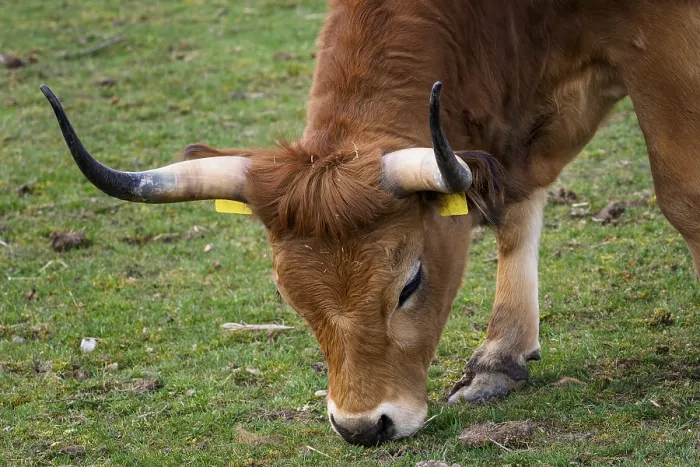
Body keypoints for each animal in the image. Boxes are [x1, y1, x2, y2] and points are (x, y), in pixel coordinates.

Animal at [41, 0, 700, 447]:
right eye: (289, 297)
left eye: (410, 284)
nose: (363, 426)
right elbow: (514, 212)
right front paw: (500, 358)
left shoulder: (659, 42)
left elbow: (682, 193)